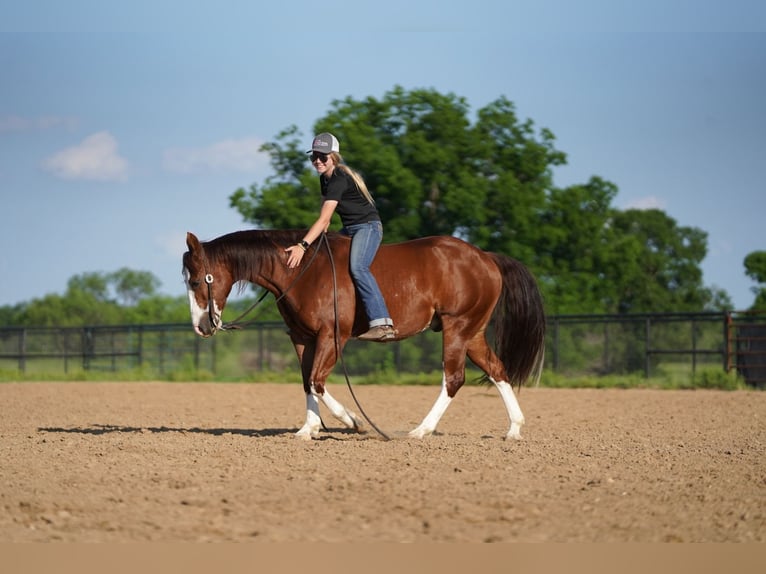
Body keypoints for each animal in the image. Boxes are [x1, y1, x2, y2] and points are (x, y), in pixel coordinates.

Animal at [184, 230, 548, 440]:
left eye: (197, 279)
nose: (202, 326)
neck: (301, 271)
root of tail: (486, 258)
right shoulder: (301, 337)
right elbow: (306, 382)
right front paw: (307, 429)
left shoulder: (333, 336)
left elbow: (317, 381)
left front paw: (353, 421)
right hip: (473, 333)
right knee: (497, 370)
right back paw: (514, 429)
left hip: (457, 328)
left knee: (453, 378)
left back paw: (421, 430)